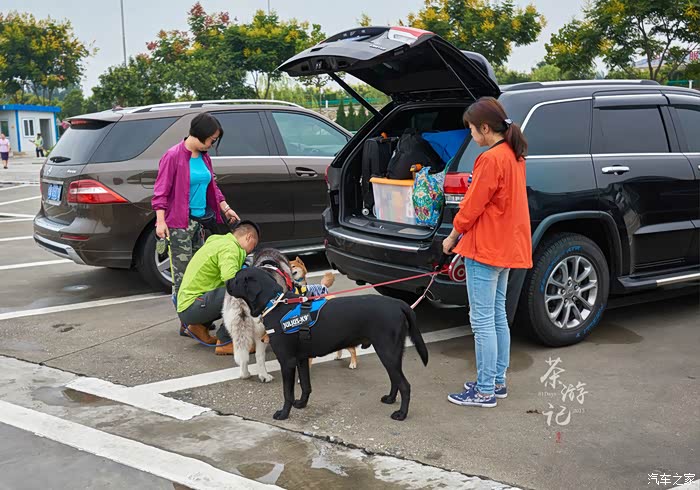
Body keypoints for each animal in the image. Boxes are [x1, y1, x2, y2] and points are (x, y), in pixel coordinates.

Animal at [221, 248, 295, 383]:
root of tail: (240, 299)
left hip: (233, 326)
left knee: (242, 353)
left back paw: (244, 374)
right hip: (261, 330)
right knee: (259, 356)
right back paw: (264, 375)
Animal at [227, 267, 429, 421]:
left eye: (236, 278)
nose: (226, 282)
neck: (276, 304)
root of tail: (399, 304)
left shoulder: (287, 361)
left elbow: (287, 393)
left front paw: (284, 413)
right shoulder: (301, 359)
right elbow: (306, 385)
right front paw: (302, 404)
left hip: (387, 351)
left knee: (405, 385)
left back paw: (401, 414)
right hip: (392, 353)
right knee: (395, 379)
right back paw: (390, 399)